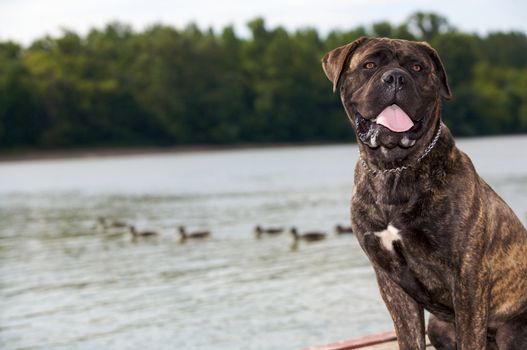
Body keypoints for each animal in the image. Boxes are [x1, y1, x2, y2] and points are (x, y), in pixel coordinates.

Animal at [322, 37, 527, 348]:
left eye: (417, 67)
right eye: (369, 64)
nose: (396, 77)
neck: (395, 168)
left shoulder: (467, 276)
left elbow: (470, 337)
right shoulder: (390, 280)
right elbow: (409, 337)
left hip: (511, 330)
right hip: (438, 326)